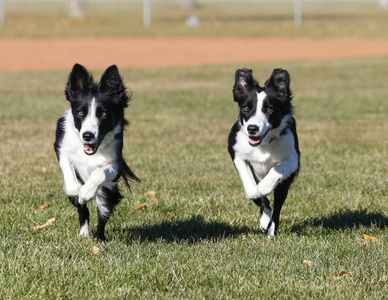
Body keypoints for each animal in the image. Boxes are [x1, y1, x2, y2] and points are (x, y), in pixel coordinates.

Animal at [53, 63, 139, 241]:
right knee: (83, 211)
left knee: (102, 214)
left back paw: (98, 238)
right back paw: (83, 234)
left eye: (103, 113)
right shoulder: (60, 146)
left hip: (107, 195)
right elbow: (70, 176)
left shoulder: (116, 164)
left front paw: (86, 192)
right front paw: (78, 190)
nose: (87, 135)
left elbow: (99, 173)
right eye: (80, 112)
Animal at [227, 67, 300, 237]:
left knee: (277, 207)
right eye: (246, 108)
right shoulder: (236, 152)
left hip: (284, 186)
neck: (263, 143)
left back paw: (270, 232)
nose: (252, 128)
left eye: (268, 109)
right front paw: (256, 191)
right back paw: (265, 221)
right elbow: (252, 190)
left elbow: (276, 170)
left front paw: (264, 187)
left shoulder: (293, 159)